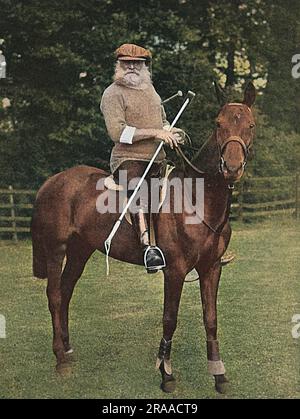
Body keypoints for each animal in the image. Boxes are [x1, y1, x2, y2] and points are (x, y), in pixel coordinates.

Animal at [31, 81, 255, 394]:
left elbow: (211, 319)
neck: (198, 198)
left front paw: (219, 374)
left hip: (80, 250)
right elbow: (169, 319)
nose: (231, 167)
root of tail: (52, 182)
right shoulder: (175, 270)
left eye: (250, 125)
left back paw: (67, 349)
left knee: (66, 291)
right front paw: (166, 373)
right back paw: (60, 360)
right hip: (56, 248)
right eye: (218, 123)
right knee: (53, 295)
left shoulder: (211, 268)